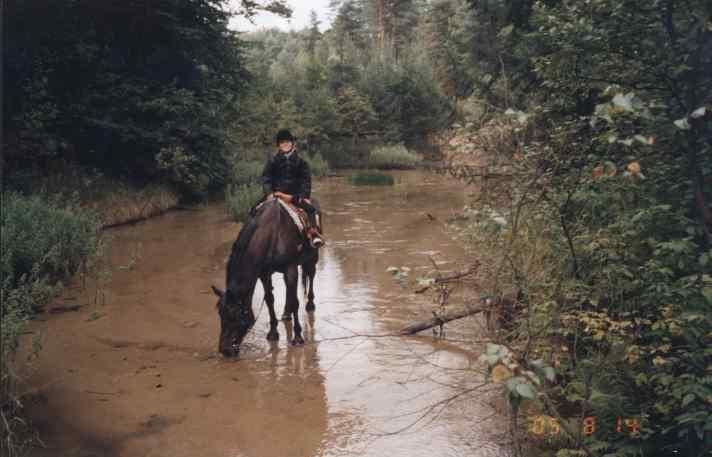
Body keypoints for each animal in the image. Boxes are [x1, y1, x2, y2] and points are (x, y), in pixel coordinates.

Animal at [211, 199, 312, 356]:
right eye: (220, 315)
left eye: (234, 315)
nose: (224, 349)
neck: (272, 234)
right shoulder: (264, 273)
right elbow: (270, 300)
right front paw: (273, 332)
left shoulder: (291, 268)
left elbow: (295, 301)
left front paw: (298, 337)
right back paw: (286, 313)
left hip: (311, 259)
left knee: (311, 277)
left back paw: (310, 304)